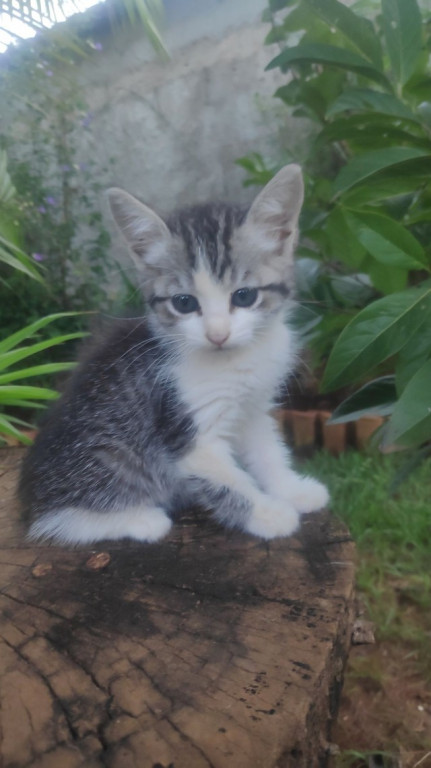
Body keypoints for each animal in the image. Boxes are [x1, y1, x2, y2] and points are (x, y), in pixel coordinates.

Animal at [18, 164, 330, 544]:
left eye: (244, 296)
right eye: (184, 303)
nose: (217, 334)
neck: (234, 360)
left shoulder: (253, 408)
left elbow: (268, 452)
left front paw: (293, 490)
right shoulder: (187, 432)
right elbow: (230, 482)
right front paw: (268, 514)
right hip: (104, 460)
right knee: (55, 521)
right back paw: (141, 519)